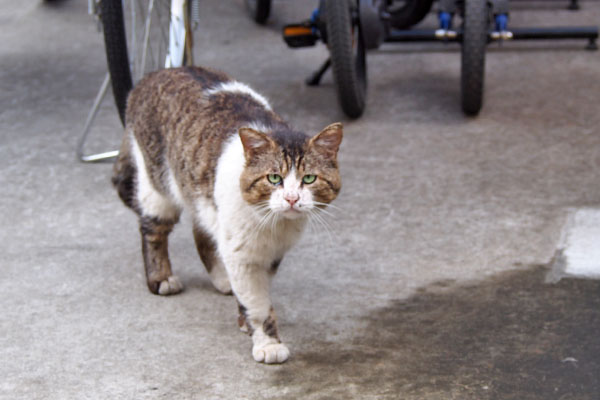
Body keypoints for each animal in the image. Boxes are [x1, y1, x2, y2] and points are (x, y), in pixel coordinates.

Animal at [113, 67, 344, 364]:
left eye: (309, 178)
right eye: (274, 178)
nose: (292, 198)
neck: (273, 224)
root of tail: (155, 74)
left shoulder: (270, 255)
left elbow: (255, 293)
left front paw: (244, 319)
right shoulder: (242, 253)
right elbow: (257, 304)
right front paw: (268, 344)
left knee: (202, 231)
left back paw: (222, 279)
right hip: (158, 184)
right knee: (153, 230)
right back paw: (161, 278)